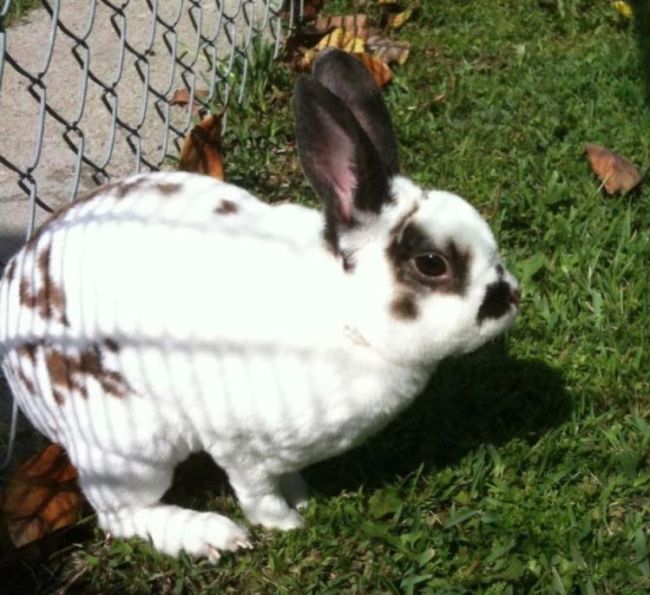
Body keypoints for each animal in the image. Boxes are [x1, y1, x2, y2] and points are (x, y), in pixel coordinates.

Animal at [0, 49, 519, 561]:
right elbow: (258, 492)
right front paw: (288, 524)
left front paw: (303, 496)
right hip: (126, 445)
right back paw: (210, 536)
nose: (510, 296)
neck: (346, 315)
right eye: (431, 263)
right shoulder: (240, 448)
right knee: (123, 515)